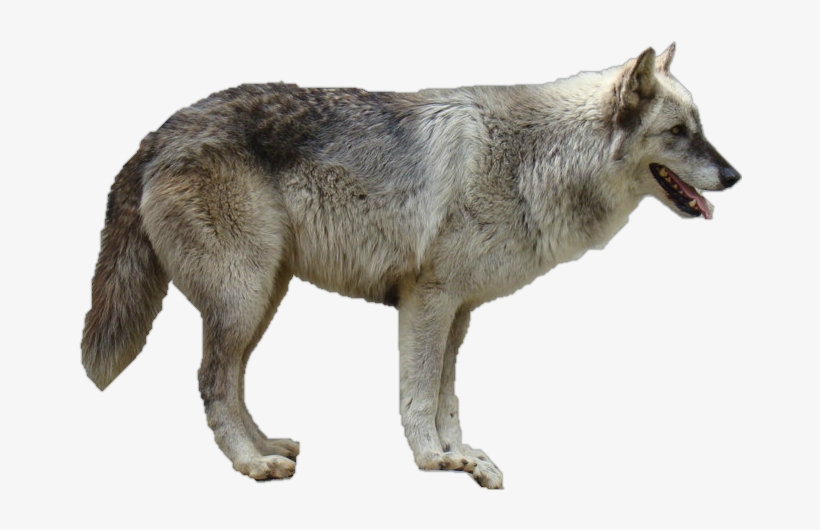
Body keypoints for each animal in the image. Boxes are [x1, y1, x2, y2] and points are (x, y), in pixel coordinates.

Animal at [82, 44, 740, 489]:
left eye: (700, 128)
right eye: (678, 132)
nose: (734, 176)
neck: (537, 159)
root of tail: (157, 134)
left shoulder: (459, 311)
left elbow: (447, 396)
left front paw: (464, 456)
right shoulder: (428, 301)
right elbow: (418, 395)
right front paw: (433, 461)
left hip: (263, 299)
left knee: (233, 380)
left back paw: (267, 443)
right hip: (244, 300)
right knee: (211, 382)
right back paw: (251, 464)